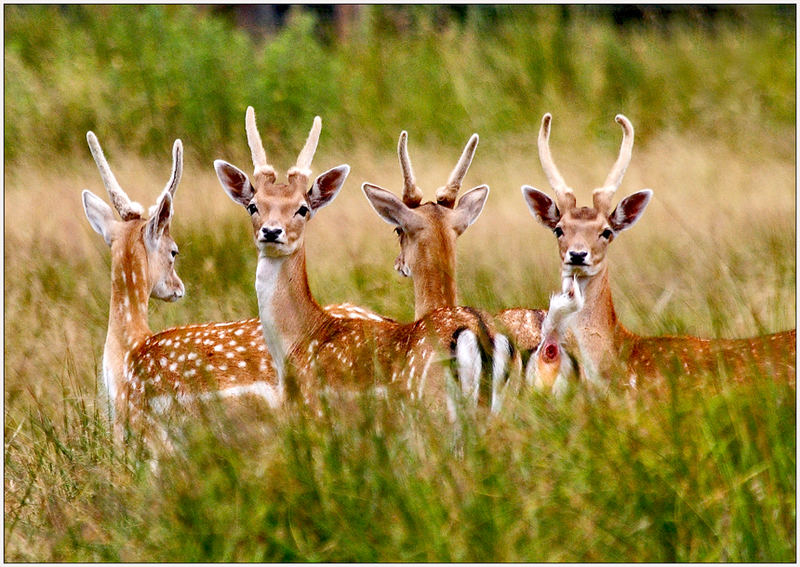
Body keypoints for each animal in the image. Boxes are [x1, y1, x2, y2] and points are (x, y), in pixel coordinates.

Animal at [212, 107, 516, 418]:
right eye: (253, 206)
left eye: (303, 209)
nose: (271, 232)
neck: (298, 341)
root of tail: (481, 335)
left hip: (431, 406)